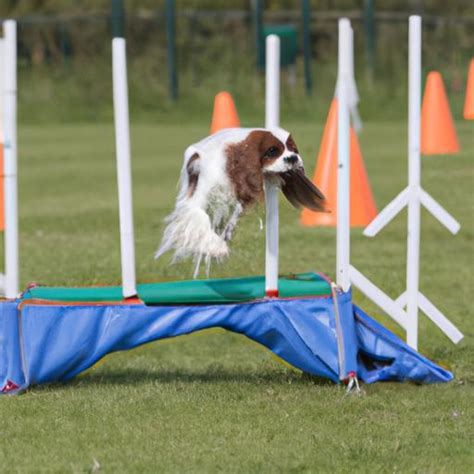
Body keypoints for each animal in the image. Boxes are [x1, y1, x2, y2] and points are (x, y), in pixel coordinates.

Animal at [156, 128, 326, 276]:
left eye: (294, 150)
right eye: (272, 151)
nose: (293, 158)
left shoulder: (240, 198)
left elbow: (233, 217)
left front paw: (222, 239)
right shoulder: (195, 200)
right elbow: (200, 218)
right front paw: (217, 248)